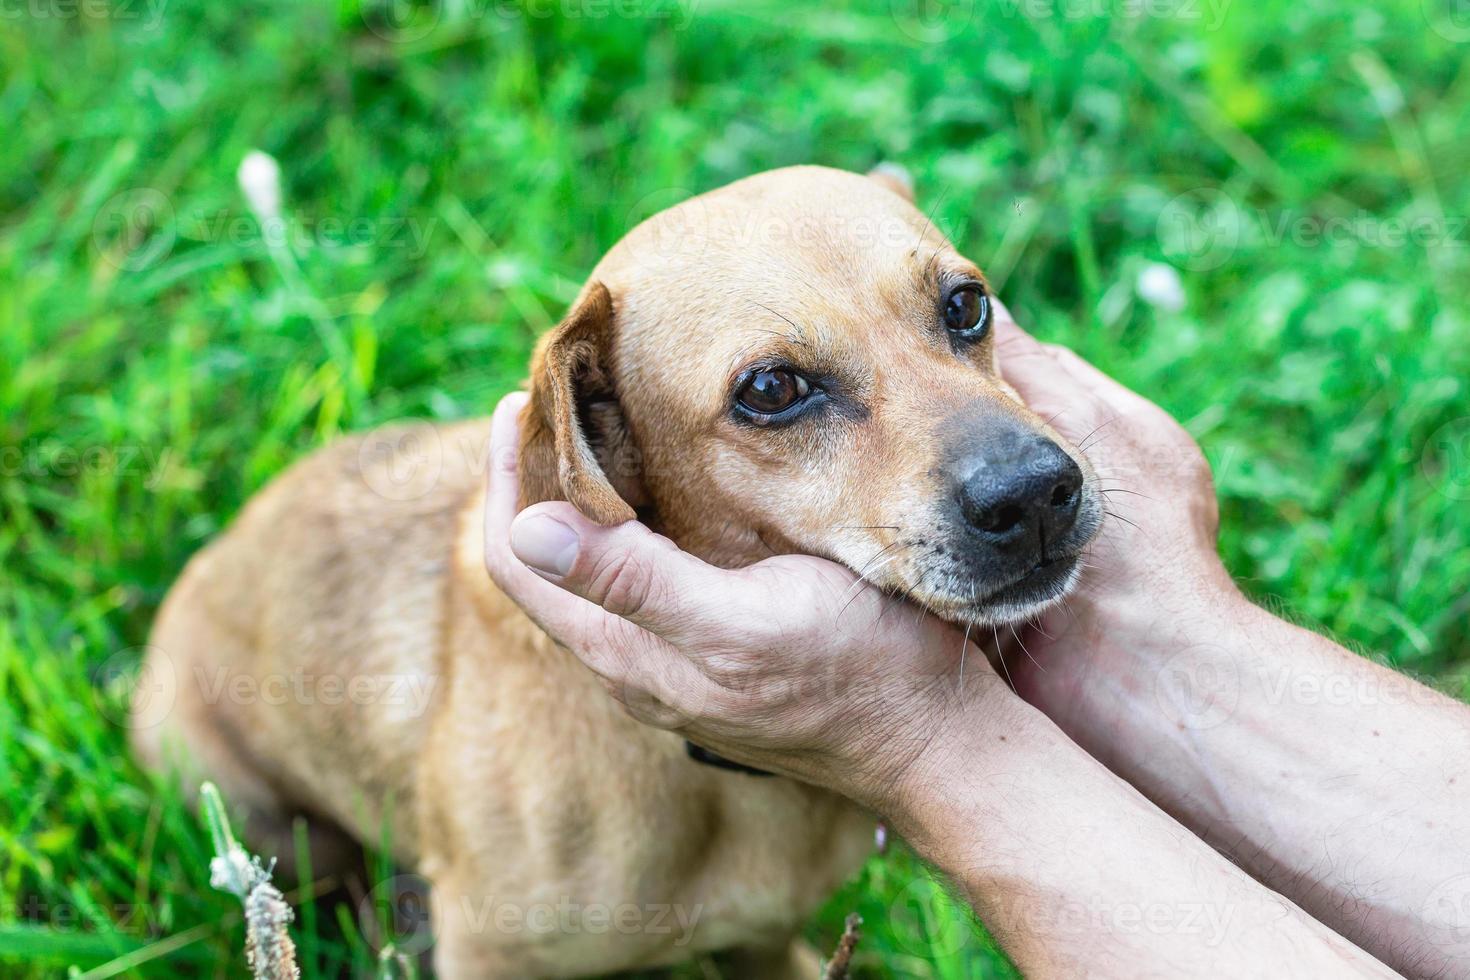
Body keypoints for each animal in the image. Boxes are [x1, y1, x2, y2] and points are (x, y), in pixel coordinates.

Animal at [132, 164, 1099, 975]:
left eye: (967, 305)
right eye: (772, 389)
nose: (1037, 493)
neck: (723, 789)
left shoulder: (762, 943)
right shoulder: (491, 952)